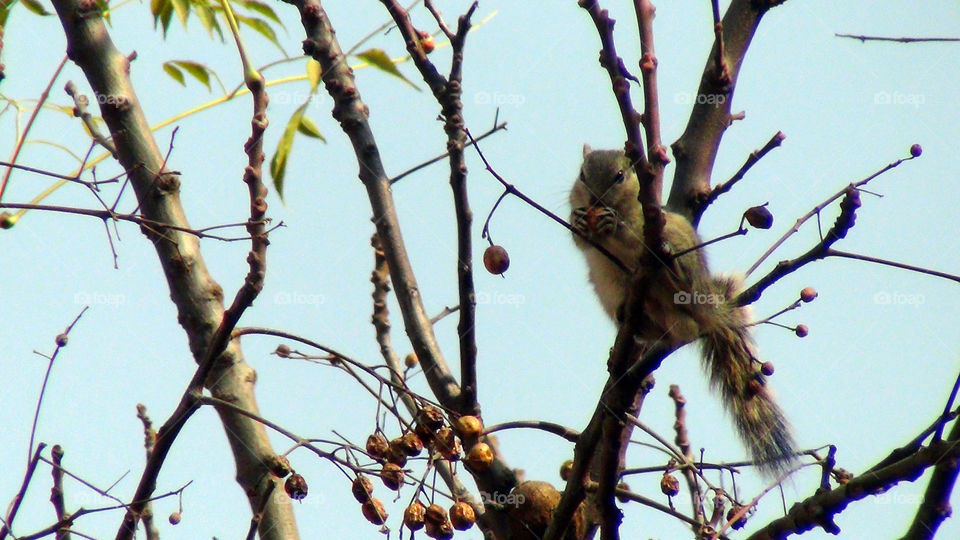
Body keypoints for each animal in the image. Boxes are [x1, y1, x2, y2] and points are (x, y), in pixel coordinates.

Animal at [570, 145, 797, 476]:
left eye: (620, 176)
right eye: (582, 175)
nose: (596, 203)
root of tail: (705, 310)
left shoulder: (646, 223)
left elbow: (631, 233)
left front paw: (612, 223)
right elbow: (580, 242)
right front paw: (578, 222)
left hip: (680, 258)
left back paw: (669, 272)